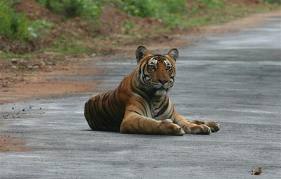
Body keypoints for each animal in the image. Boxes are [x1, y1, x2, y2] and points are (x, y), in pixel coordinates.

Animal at [83, 45, 219, 135]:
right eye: (153, 67)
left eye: (168, 68)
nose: (163, 81)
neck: (157, 98)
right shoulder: (131, 117)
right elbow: (149, 123)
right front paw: (172, 127)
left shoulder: (173, 115)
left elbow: (186, 122)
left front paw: (201, 128)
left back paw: (212, 124)